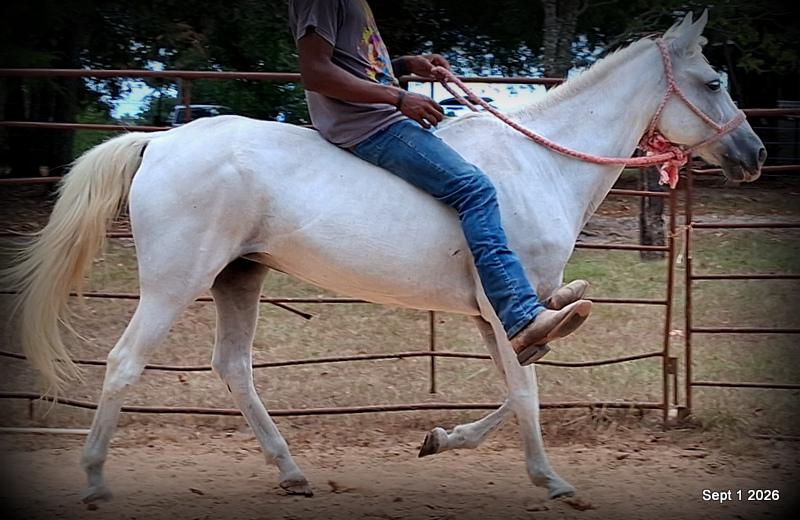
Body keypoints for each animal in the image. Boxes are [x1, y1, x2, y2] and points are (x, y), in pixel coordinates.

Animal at [6, 11, 764, 502]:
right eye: (712, 82)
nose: (754, 153)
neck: (538, 162)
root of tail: (158, 142)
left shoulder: (498, 314)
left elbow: (518, 387)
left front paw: (441, 439)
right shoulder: (508, 305)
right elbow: (526, 390)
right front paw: (552, 482)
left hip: (238, 278)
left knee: (233, 369)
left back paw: (291, 473)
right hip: (175, 282)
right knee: (124, 362)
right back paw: (96, 479)